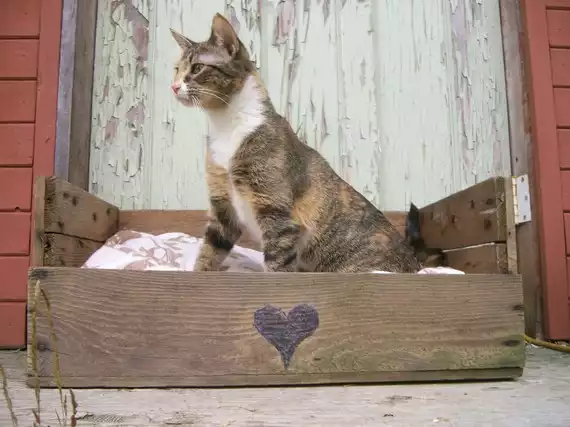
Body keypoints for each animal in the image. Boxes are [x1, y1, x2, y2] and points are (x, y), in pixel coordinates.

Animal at [169, 14, 422, 274]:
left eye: (197, 68)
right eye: (177, 69)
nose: (174, 86)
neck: (227, 126)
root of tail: (416, 265)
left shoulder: (276, 211)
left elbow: (278, 265)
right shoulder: (223, 208)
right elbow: (209, 251)